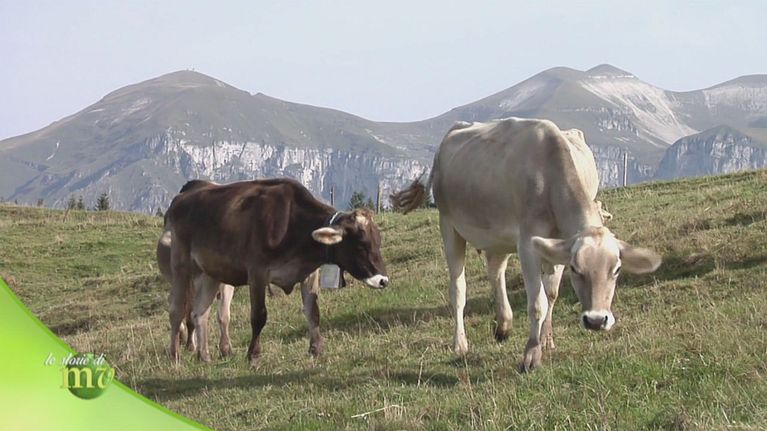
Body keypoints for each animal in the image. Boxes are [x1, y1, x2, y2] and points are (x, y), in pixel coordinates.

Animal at [165, 178, 389, 363]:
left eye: (378, 242)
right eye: (361, 245)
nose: (383, 280)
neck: (292, 225)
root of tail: (181, 197)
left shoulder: (309, 273)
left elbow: (313, 312)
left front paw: (316, 349)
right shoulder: (257, 273)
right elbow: (259, 316)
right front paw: (253, 354)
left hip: (211, 272)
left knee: (200, 312)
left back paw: (204, 356)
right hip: (180, 264)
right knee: (177, 310)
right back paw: (175, 355)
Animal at [391, 118, 661, 372]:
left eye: (617, 269)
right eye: (577, 269)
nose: (596, 320)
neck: (549, 175)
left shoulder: (557, 246)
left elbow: (551, 294)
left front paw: (547, 339)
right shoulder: (528, 243)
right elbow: (537, 302)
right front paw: (532, 354)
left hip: (497, 233)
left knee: (495, 272)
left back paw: (504, 324)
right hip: (449, 225)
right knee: (458, 288)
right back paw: (460, 343)